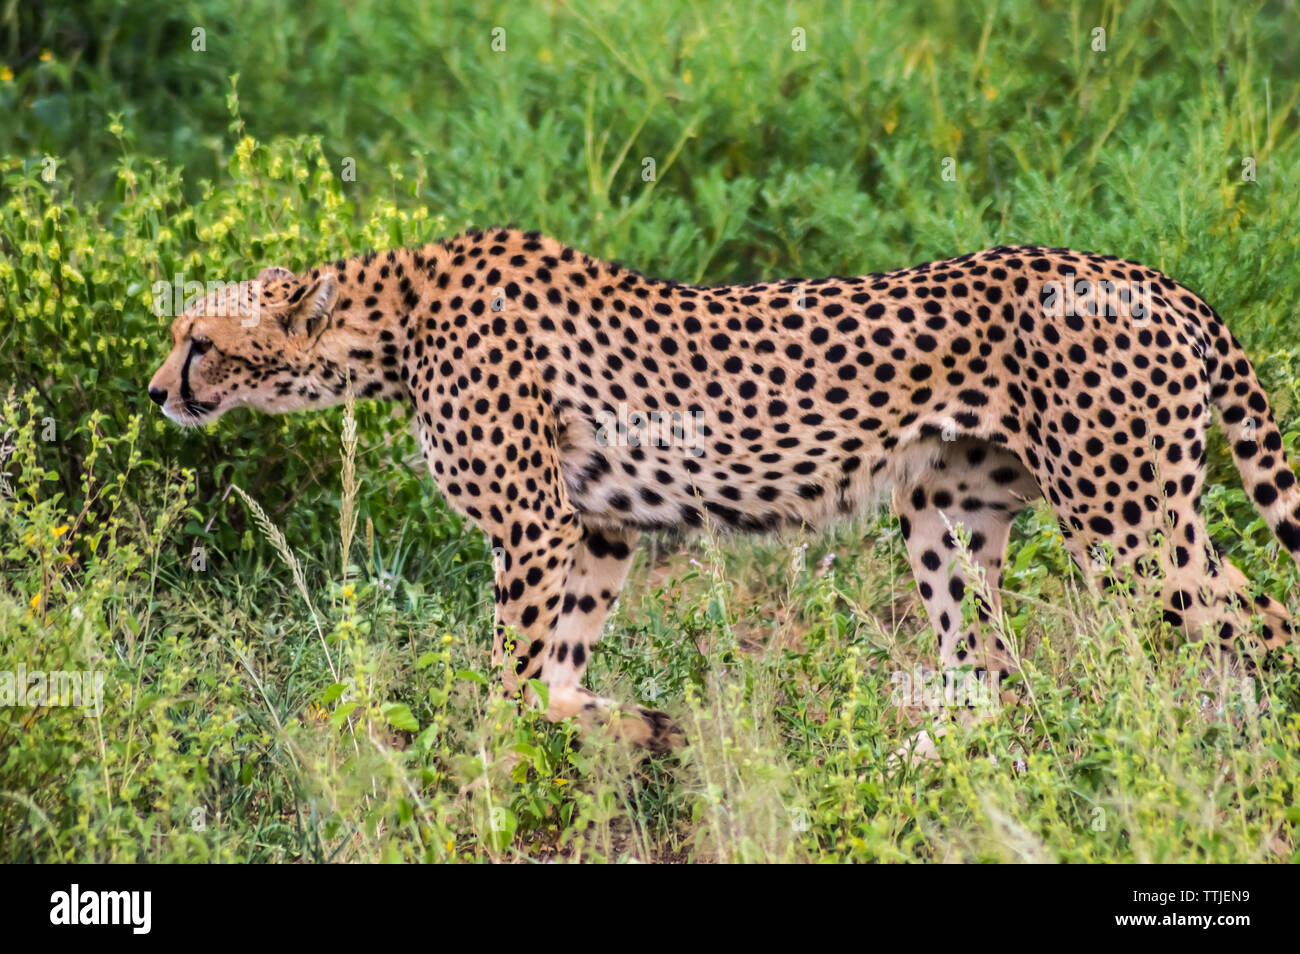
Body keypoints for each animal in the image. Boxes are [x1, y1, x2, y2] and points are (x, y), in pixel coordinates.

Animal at [148, 228, 1300, 751]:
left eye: (198, 340)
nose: (157, 391)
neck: (391, 321)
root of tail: (1155, 278)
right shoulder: (595, 526)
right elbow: (561, 658)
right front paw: (614, 726)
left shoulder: (532, 523)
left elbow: (508, 671)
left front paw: (487, 763)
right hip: (948, 518)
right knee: (998, 676)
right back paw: (923, 765)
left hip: (1127, 520)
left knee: (1258, 622)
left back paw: (1236, 761)